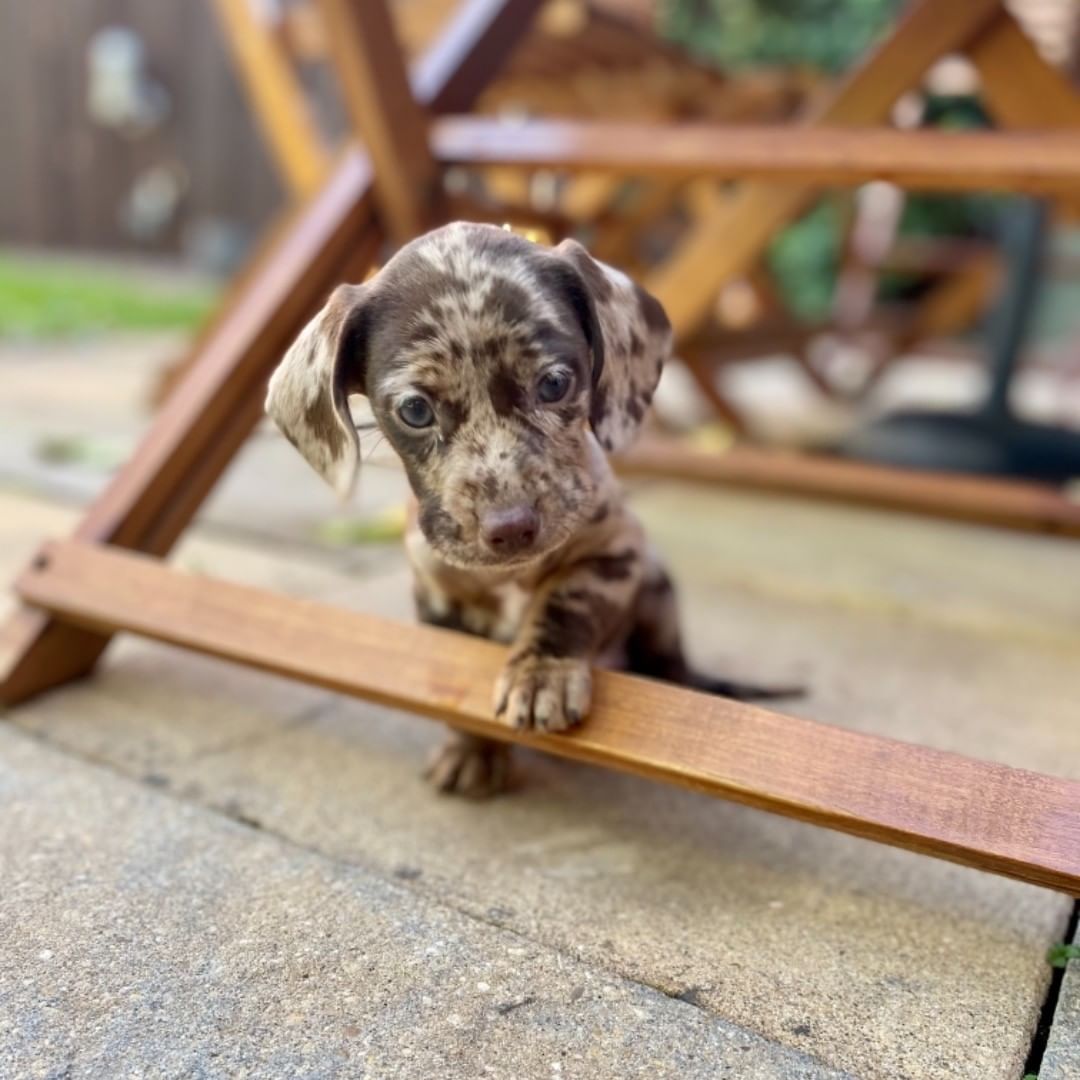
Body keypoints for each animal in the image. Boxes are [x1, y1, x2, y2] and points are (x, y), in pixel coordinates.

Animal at [267, 223, 794, 799]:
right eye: (415, 410)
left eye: (555, 383)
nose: (511, 528)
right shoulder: (437, 601)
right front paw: (471, 749)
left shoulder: (615, 553)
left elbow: (565, 602)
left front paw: (543, 673)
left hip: (658, 592)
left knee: (672, 664)